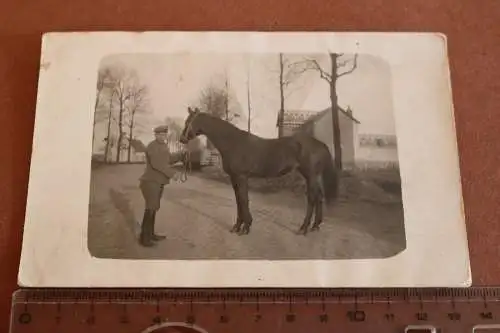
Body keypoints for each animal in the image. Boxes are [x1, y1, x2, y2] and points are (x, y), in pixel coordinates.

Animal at [180, 105, 340, 233]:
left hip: (310, 175)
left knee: (312, 199)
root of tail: (320, 144)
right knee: (319, 197)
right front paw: (237, 226)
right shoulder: (234, 177)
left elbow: (243, 200)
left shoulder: (241, 176)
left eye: (189, 121)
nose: (182, 139)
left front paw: (245, 227)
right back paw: (315, 226)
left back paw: (304, 228)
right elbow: (238, 200)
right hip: (313, 176)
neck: (232, 142)